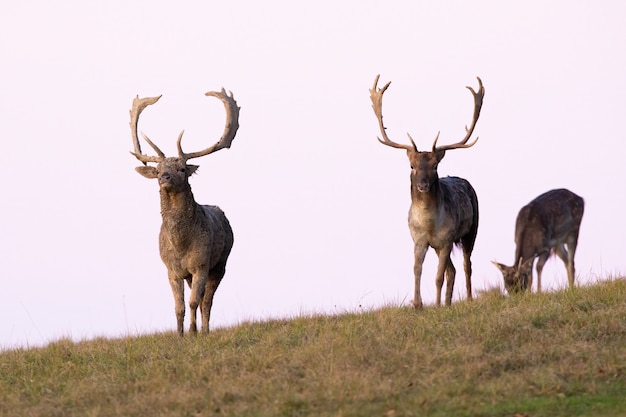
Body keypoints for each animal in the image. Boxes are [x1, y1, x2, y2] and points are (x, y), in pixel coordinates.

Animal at [129, 88, 239, 334]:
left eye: (181, 168)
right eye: (157, 169)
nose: (164, 177)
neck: (181, 244)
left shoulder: (201, 264)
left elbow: (194, 301)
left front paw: (192, 332)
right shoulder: (171, 269)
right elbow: (179, 306)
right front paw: (179, 334)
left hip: (221, 263)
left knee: (207, 300)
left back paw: (205, 330)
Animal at [370, 75, 482, 308]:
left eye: (435, 166)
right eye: (412, 165)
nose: (423, 185)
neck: (429, 223)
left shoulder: (447, 239)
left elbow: (438, 277)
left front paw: (435, 305)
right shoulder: (419, 240)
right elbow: (416, 270)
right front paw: (417, 304)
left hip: (472, 230)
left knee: (466, 265)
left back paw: (466, 299)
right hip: (440, 247)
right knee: (452, 270)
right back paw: (448, 303)